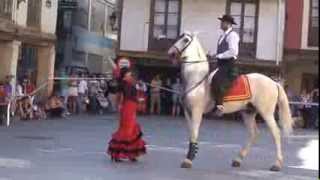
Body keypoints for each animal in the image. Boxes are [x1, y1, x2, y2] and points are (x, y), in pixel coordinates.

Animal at [169, 32, 294, 172]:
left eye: (185, 40)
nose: (171, 53)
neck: (196, 78)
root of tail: (274, 82)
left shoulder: (197, 111)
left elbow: (194, 133)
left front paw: (188, 160)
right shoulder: (187, 112)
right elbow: (191, 133)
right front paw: (192, 153)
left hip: (266, 113)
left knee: (276, 133)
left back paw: (277, 164)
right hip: (248, 113)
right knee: (254, 134)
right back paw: (238, 159)